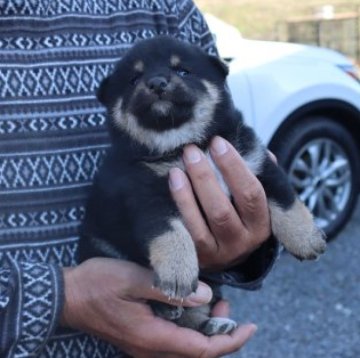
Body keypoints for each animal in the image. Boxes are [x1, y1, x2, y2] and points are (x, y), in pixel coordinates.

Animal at [79, 36, 326, 336]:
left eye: (183, 70)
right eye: (134, 79)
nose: (157, 83)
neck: (187, 143)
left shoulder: (255, 161)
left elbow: (286, 199)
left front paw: (306, 239)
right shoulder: (145, 192)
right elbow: (169, 231)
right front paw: (177, 271)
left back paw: (213, 325)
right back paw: (167, 307)